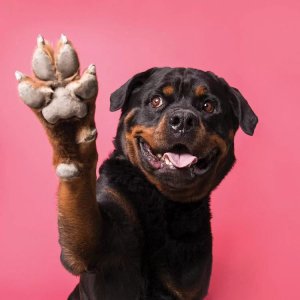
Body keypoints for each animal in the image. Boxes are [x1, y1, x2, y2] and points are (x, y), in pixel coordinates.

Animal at [15, 35, 256, 300]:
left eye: (208, 106)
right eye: (156, 101)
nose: (183, 120)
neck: (160, 200)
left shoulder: (186, 283)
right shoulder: (95, 248)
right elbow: (83, 209)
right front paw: (69, 125)